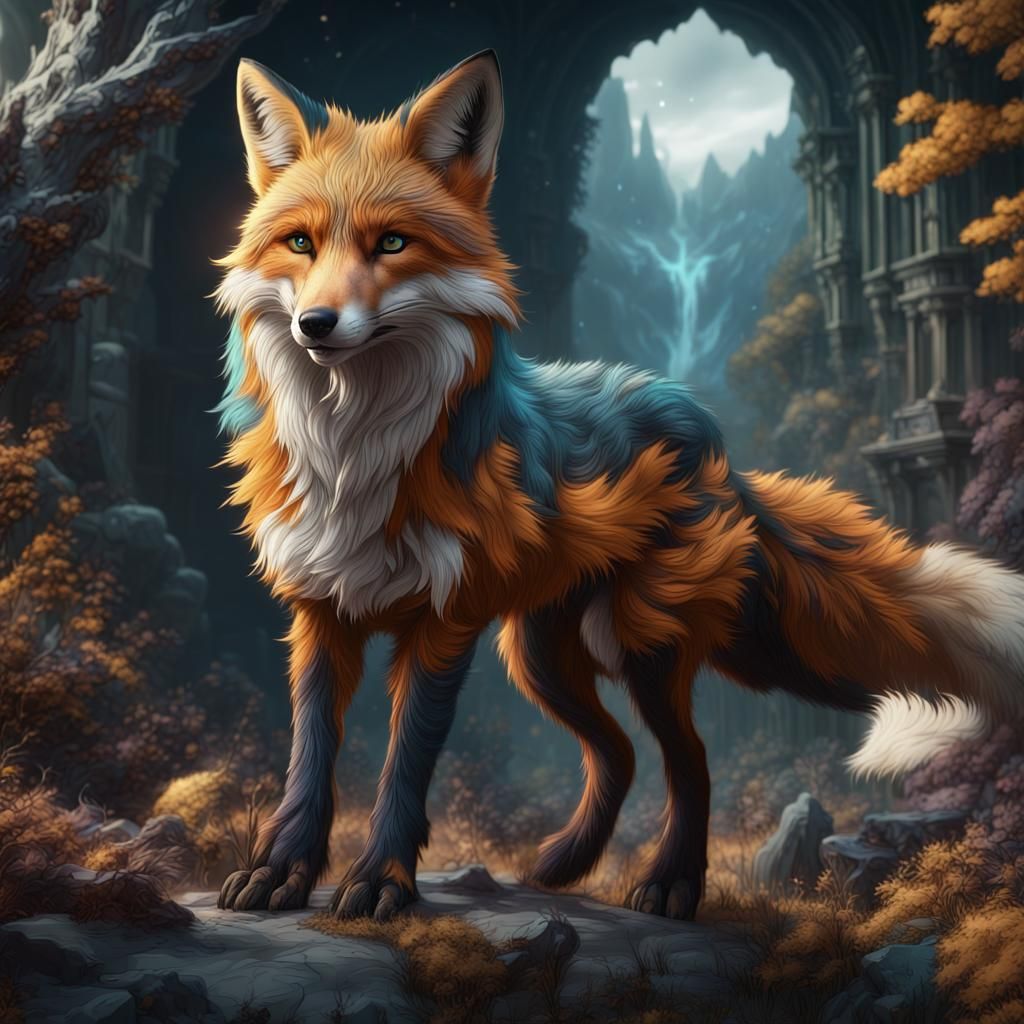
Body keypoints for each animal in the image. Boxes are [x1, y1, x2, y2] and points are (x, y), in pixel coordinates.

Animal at [213, 50, 1024, 922]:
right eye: (300, 243)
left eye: (392, 243)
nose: (316, 325)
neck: (354, 454)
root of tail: (708, 434)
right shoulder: (319, 611)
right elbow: (309, 757)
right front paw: (282, 870)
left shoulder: (442, 622)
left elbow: (404, 765)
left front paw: (379, 882)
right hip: (541, 654)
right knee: (619, 755)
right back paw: (565, 864)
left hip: (639, 642)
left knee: (687, 760)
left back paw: (670, 884)